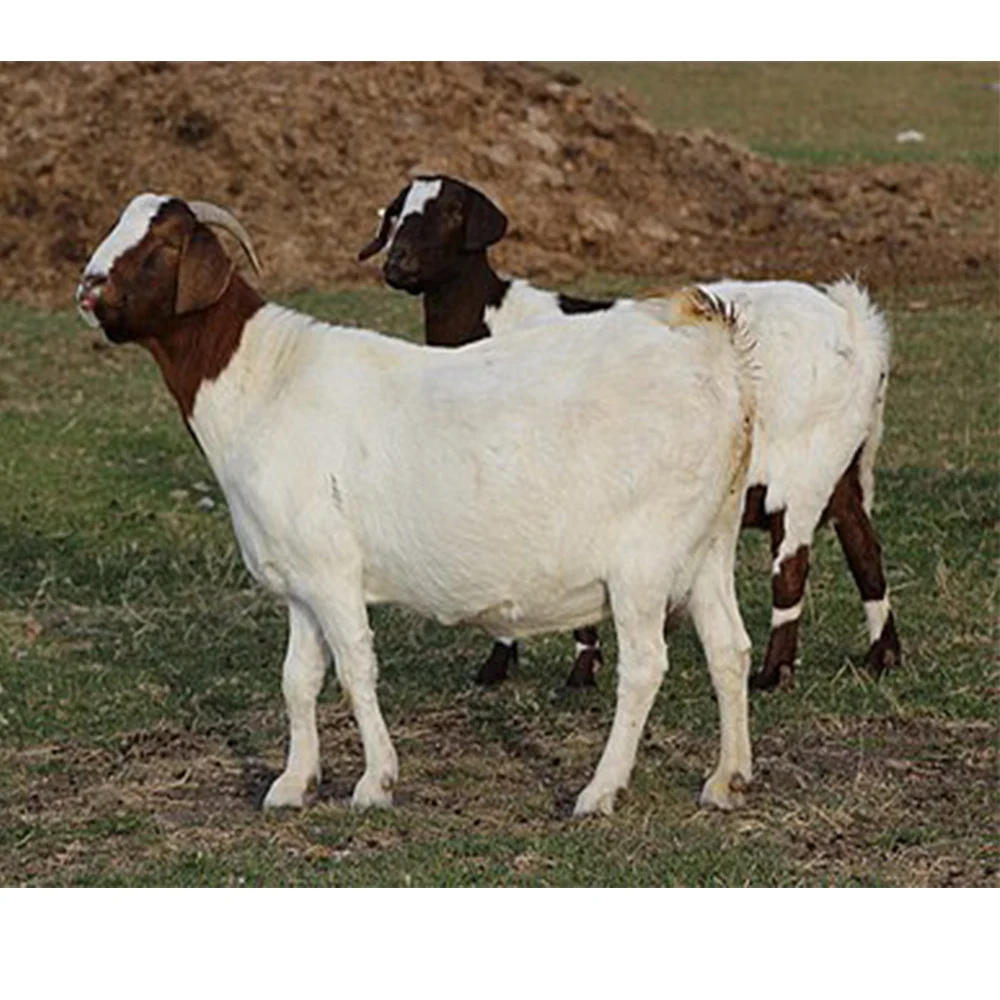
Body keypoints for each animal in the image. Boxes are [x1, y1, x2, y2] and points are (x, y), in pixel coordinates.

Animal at [76, 192, 759, 816]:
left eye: (163, 246)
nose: (87, 289)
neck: (265, 381)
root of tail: (709, 341)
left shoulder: (332, 571)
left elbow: (355, 670)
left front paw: (375, 782)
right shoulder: (299, 580)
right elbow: (298, 681)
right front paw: (293, 784)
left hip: (644, 558)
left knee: (643, 667)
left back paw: (600, 791)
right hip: (710, 542)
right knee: (730, 647)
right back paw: (728, 779)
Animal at [360, 175, 900, 692]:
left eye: (452, 212)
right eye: (397, 212)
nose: (397, 264)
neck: (491, 322)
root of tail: (854, 327)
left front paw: (574, 672)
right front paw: (506, 666)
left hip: (801, 473)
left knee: (791, 568)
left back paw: (773, 674)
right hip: (840, 463)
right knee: (863, 544)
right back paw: (882, 657)